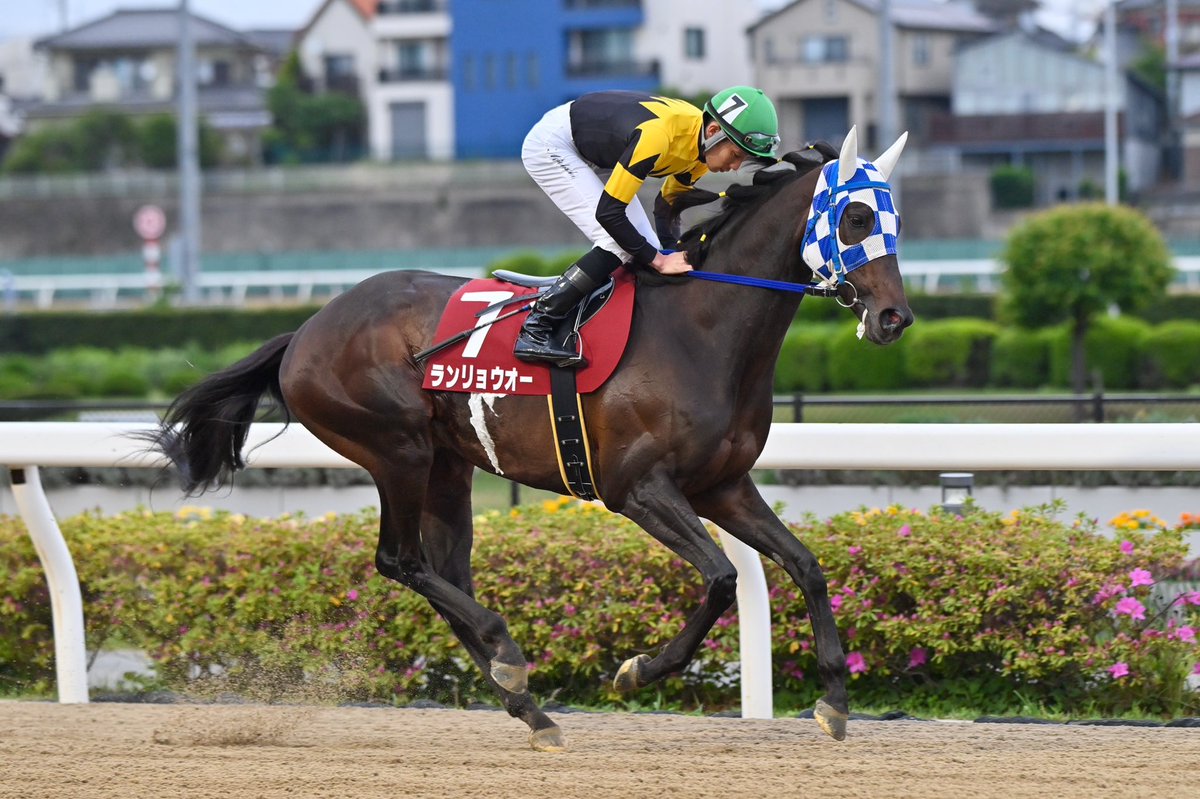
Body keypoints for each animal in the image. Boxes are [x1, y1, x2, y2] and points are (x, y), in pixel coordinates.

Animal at [144, 126, 913, 751]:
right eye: (856, 216)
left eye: (895, 218)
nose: (894, 318)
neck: (700, 330)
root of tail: (305, 329)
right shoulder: (637, 488)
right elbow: (723, 578)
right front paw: (638, 669)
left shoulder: (722, 485)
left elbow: (806, 566)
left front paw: (834, 700)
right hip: (396, 450)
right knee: (400, 560)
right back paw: (506, 650)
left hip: (448, 467)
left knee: (444, 572)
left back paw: (528, 706)